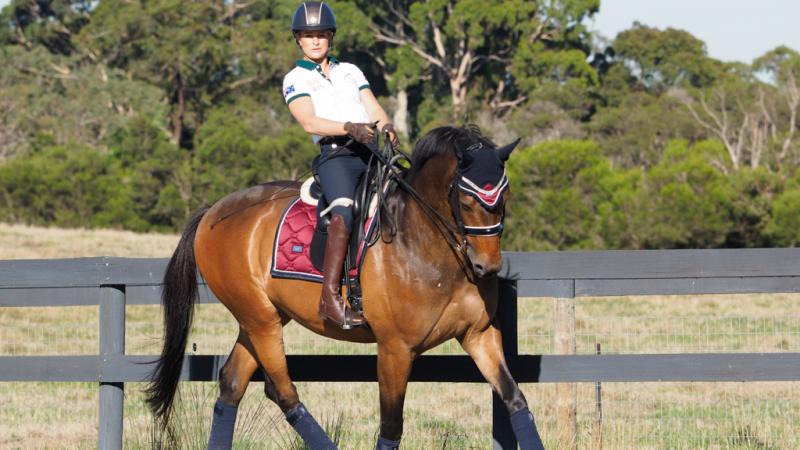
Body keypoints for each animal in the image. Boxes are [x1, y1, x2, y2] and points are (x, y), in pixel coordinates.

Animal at [145, 125, 544, 450]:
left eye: (504, 196)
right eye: (466, 200)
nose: (487, 267)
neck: (427, 247)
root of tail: (212, 211)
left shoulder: (479, 335)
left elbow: (516, 399)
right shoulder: (396, 349)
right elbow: (391, 427)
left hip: (260, 318)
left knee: (232, 384)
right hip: (260, 321)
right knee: (283, 392)